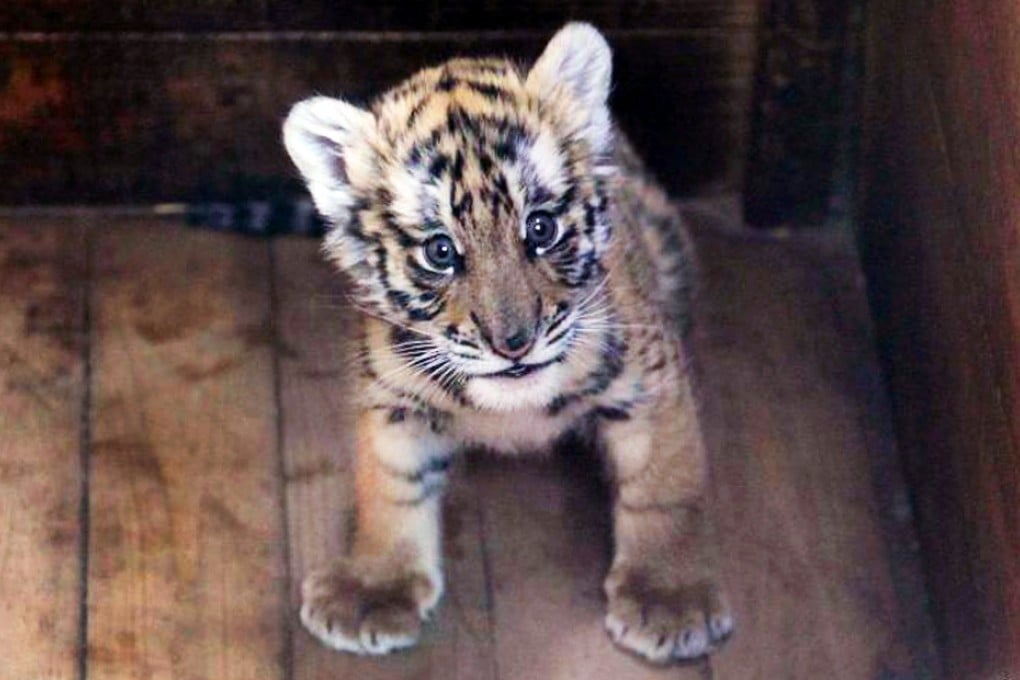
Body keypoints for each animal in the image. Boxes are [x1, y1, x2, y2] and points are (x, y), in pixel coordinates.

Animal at [282, 22, 734, 664]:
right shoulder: (391, 399)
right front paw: (373, 589)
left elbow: (664, 487)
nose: (513, 343)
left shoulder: (653, 381)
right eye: (440, 252)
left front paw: (669, 599)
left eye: (540, 228)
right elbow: (390, 490)